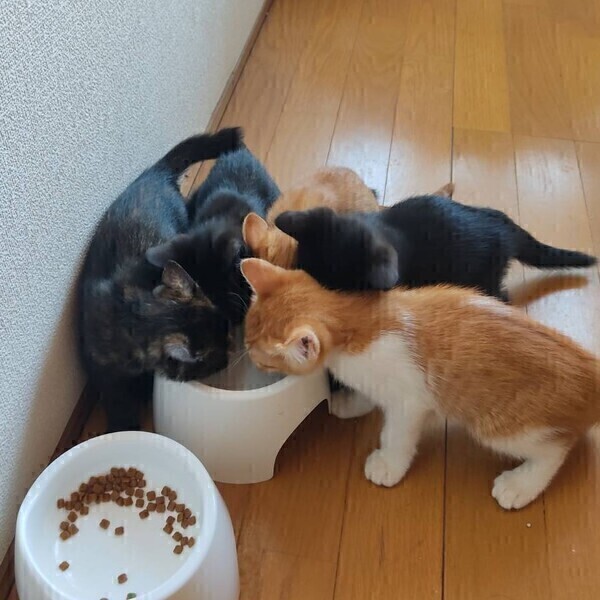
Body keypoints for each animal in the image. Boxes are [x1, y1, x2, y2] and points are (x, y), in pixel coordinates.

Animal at [79, 127, 242, 432]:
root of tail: (155, 171)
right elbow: (118, 402)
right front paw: (124, 425)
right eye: (219, 353)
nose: (231, 348)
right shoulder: (106, 374)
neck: (132, 317)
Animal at [240, 258, 600, 510]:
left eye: (263, 361)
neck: (357, 323)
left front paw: (388, 465)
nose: (256, 367)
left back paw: (521, 485)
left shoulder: (409, 401)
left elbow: (396, 434)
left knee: (556, 449)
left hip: (500, 426)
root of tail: (591, 371)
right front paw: (351, 403)